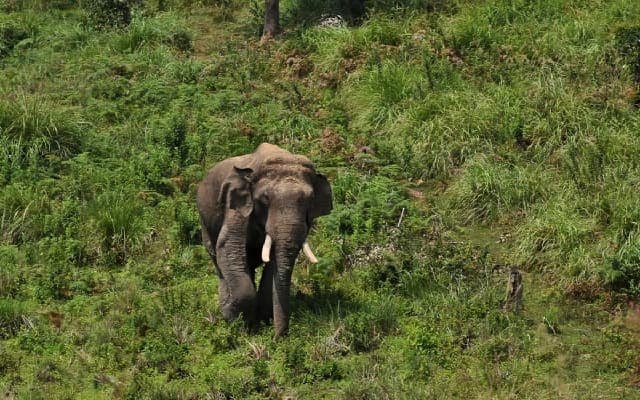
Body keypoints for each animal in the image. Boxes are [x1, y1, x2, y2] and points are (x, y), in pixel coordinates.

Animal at [196, 143, 332, 337]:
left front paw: (261, 320)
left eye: (310, 201)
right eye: (265, 199)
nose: (280, 337)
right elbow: (228, 247)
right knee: (219, 260)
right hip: (204, 223)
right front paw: (237, 320)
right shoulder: (236, 203)